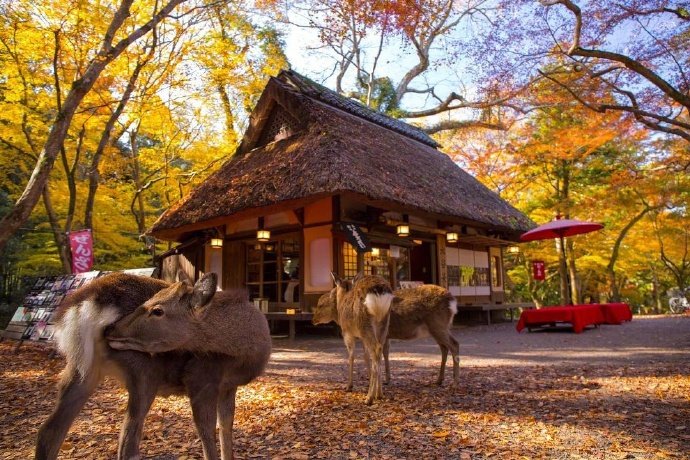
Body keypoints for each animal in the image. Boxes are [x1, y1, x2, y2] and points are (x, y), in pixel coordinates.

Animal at [35, 271, 271, 460]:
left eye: (157, 310)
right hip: (143, 371)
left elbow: (226, 428)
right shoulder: (200, 378)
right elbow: (207, 433)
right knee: (127, 446)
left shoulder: (229, 387)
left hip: (81, 368)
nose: (111, 329)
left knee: (48, 431)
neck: (244, 355)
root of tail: (83, 306)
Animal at [314, 283, 460, 386]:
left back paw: (454, 383)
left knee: (454, 344)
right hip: (437, 328)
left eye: (321, 304)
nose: (313, 320)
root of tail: (452, 302)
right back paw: (439, 380)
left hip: (438, 324)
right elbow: (385, 353)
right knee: (444, 348)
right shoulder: (386, 335)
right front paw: (387, 379)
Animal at [322, 273, 393, 405]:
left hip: (364, 324)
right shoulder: (362, 338)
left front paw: (348, 386)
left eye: (335, 286)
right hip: (384, 323)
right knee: (379, 350)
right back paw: (379, 394)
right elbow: (365, 356)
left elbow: (351, 356)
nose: (330, 294)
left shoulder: (347, 333)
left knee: (376, 349)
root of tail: (380, 290)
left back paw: (369, 398)